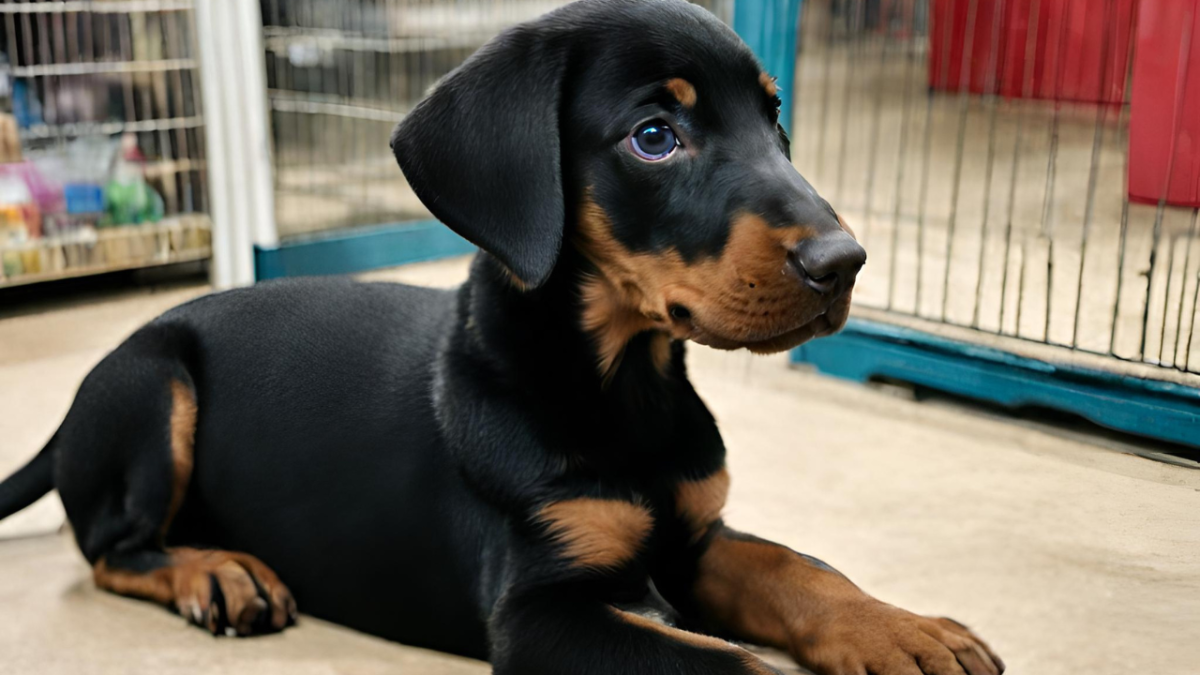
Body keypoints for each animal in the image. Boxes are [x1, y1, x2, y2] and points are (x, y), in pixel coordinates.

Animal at [0, 2, 1003, 667]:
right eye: (654, 136)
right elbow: (732, 661)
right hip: (152, 383)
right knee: (110, 547)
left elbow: (799, 565)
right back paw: (215, 572)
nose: (845, 262)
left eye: (776, 122)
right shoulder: (541, 611)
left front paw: (904, 628)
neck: (626, 386)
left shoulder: (692, 537)